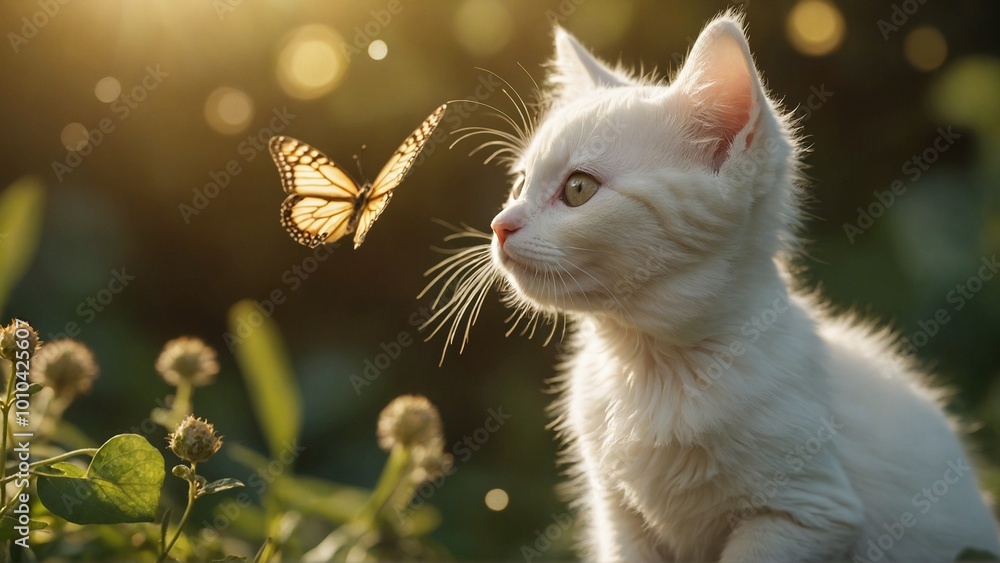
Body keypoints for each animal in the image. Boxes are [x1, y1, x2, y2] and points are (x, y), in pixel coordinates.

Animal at [424, 11, 1000, 560]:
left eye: (578, 189)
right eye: (520, 183)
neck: (655, 370)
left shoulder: (806, 511)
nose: (500, 224)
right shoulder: (617, 519)